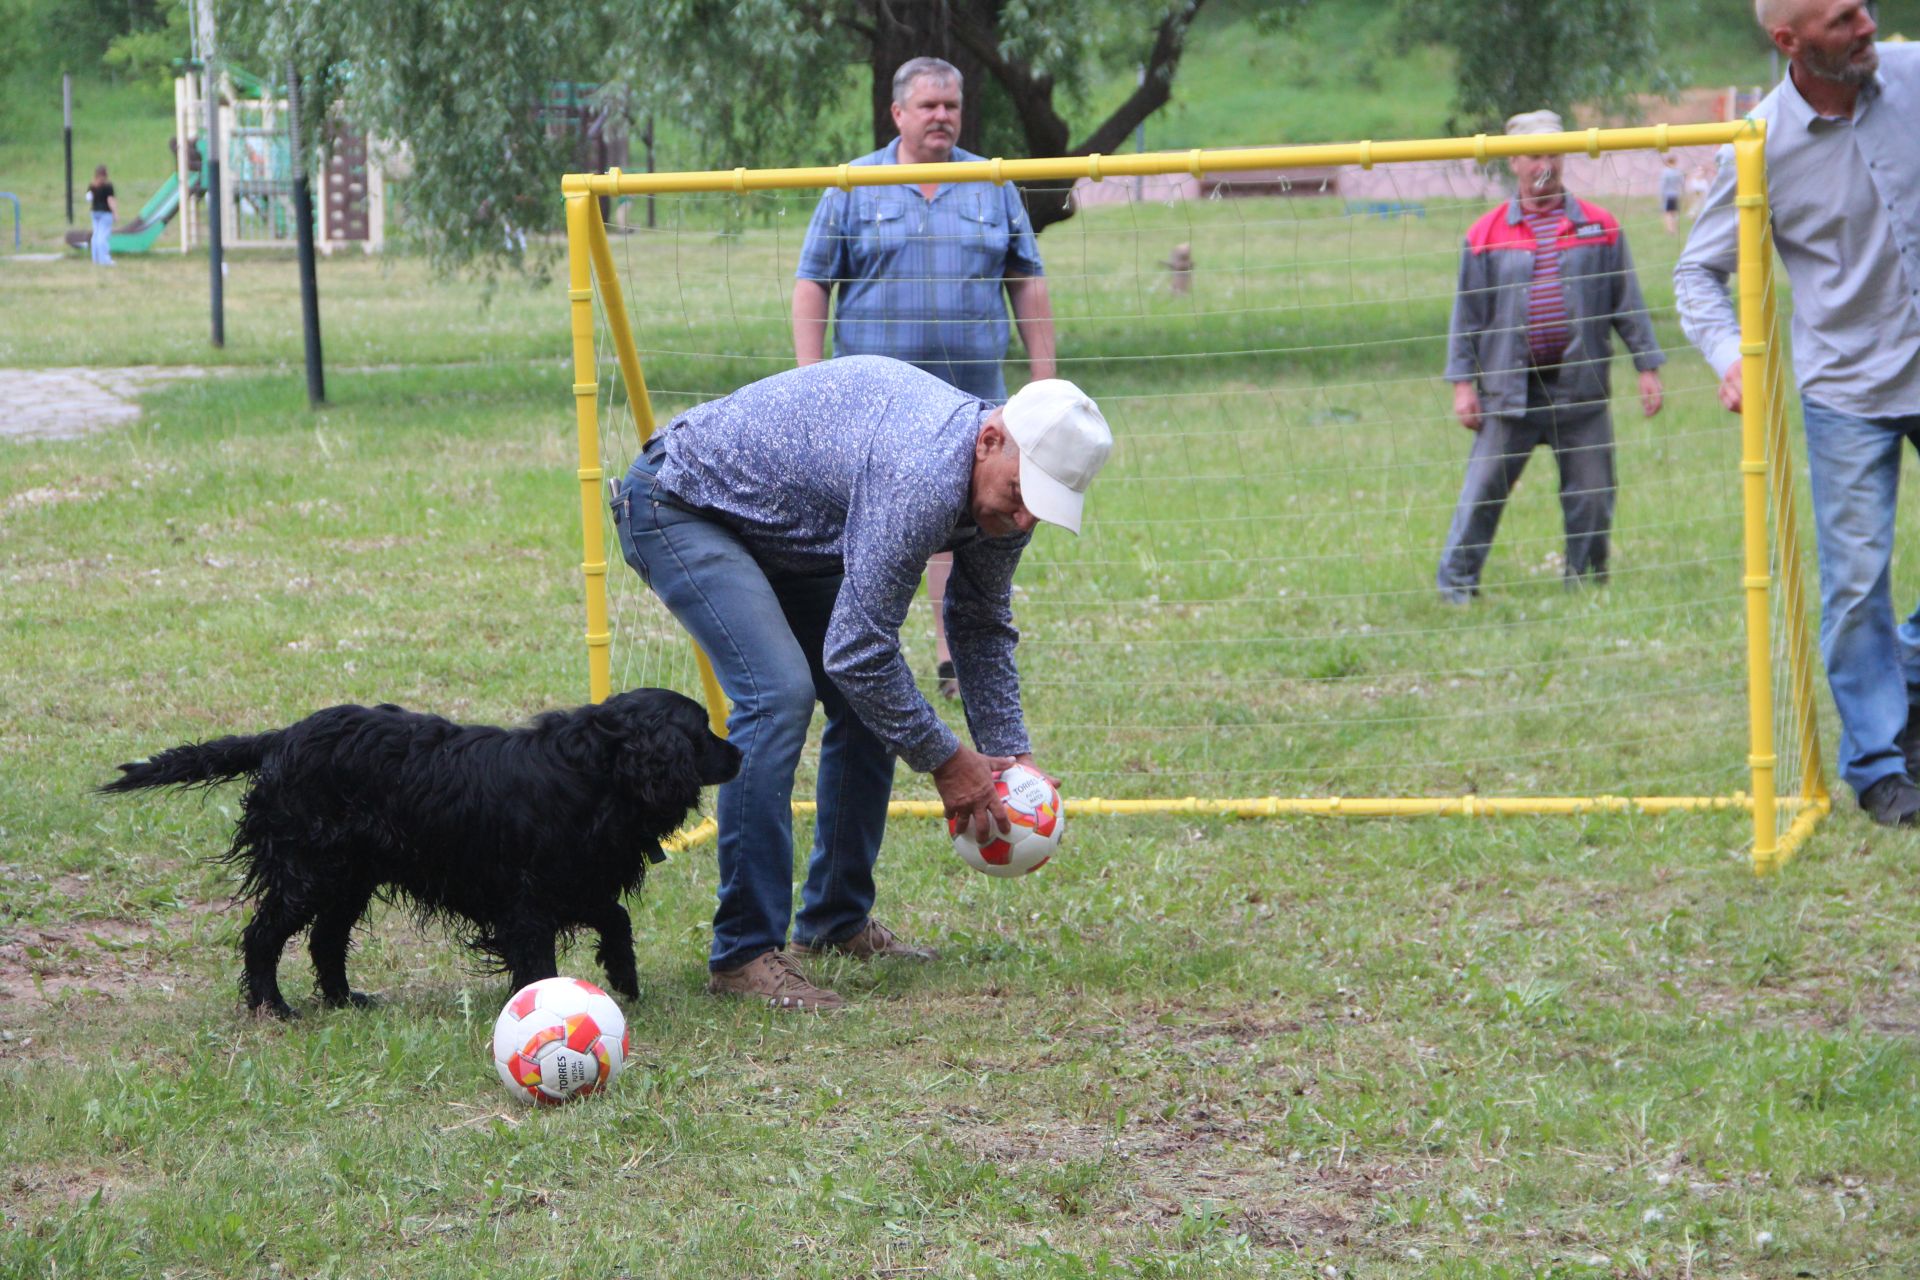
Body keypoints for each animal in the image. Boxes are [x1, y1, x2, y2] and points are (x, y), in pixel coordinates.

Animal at [95, 690, 741, 1020]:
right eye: (703, 729)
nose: (738, 753)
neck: (592, 771)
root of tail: (281, 738)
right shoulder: (527, 902)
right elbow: (539, 966)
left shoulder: (575, 880)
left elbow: (616, 918)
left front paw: (623, 976)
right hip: (310, 871)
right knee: (264, 935)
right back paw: (272, 1007)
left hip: (348, 876)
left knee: (325, 940)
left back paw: (345, 1000)